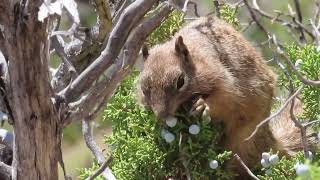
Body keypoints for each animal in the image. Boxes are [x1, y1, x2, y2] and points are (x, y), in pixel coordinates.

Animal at [136, 16, 318, 179]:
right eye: (144, 88)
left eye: (180, 81)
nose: (162, 114)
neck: (196, 59)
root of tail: (271, 140)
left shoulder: (224, 80)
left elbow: (227, 100)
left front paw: (203, 105)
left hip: (243, 140)